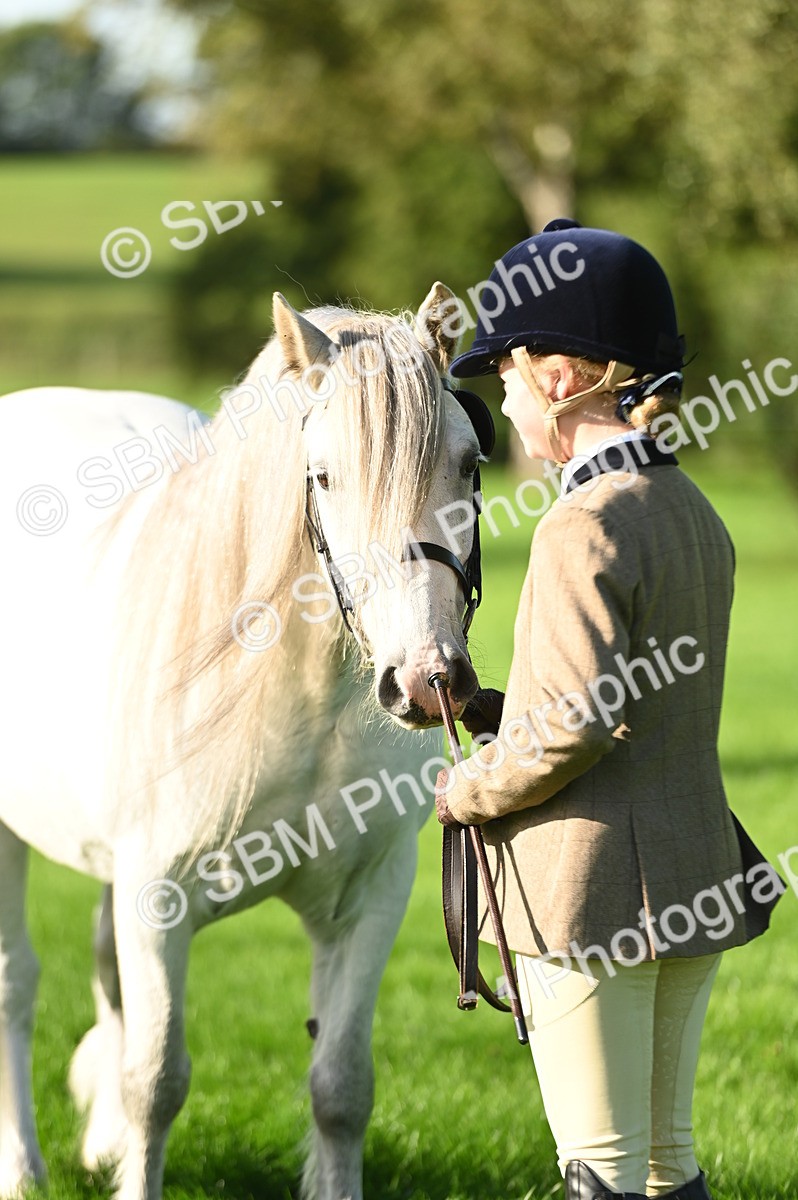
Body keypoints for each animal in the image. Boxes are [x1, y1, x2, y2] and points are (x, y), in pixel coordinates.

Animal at [0, 284, 488, 1200]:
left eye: (471, 463)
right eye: (324, 476)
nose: (426, 680)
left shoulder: (371, 898)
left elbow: (341, 1088)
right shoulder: (156, 897)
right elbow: (156, 1081)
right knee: (16, 983)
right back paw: (21, 1167)